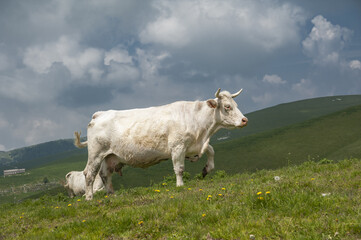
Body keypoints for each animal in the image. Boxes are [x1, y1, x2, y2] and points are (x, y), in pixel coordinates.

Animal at [74, 89, 246, 200]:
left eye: (236, 105)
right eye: (227, 107)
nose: (245, 120)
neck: (203, 132)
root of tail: (100, 114)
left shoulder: (194, 146)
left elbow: (211, 150)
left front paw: (206, 169)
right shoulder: (178, 147)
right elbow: (179, 168)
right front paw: (180, 185)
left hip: (109, 156)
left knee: (105, 174)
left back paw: (112, 194)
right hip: (96, 154)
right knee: (89, 174)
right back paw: (89, 198)